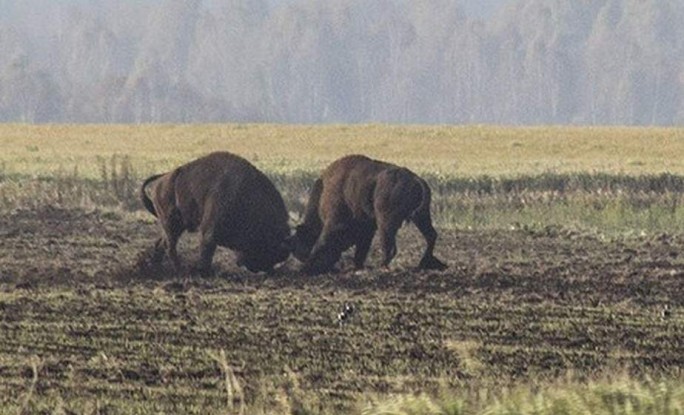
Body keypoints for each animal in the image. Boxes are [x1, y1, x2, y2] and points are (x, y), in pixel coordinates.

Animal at [140, 151, 290, 274]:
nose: (259, 268)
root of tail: (161, 180)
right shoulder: (210, 232)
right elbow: (207, 248)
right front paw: (203, 270)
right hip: (171, 223)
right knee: (170, 246)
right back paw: (180, 270)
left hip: (175, 225)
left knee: (162, 242)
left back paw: (155, 266)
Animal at [290, 154, 446, 274]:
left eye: (304, 242)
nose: (302, 257)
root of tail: (416, 179)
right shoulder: (366, 230)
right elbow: (361, 251)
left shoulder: (333, 224)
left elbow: (322, 243)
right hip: (421, 217)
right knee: (431, 236)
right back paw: (425, 263)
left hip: (386, 222)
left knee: (390, 246)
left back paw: (382, 266)